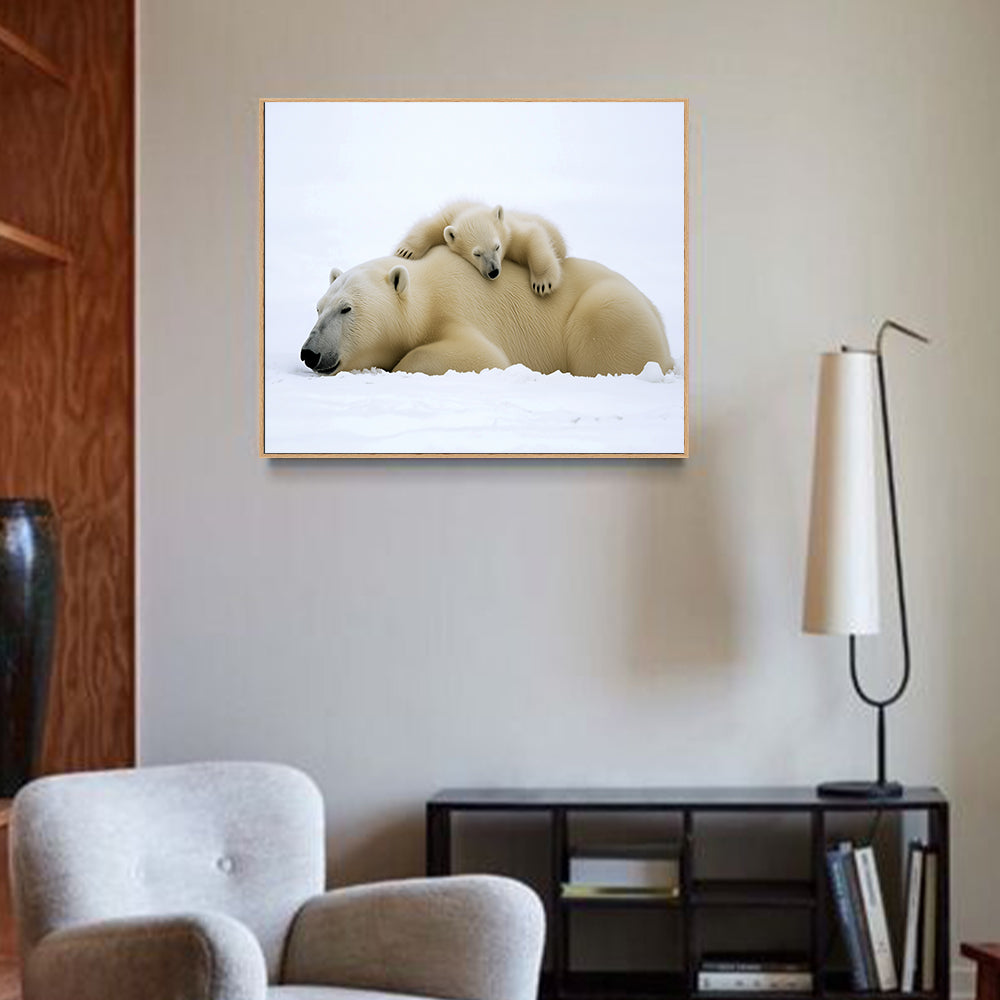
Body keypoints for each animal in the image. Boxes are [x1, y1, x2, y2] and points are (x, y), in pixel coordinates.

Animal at [300, 245, 674, 378]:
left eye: (346, 308)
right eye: (318, 308)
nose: (310, 352)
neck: (425, 294)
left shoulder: (457, 306)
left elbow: (482, 355)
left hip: (610, 311)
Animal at [394, 200, 567, 296]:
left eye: (497, 247)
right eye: (476, 254)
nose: (493, 271)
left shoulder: (509, 232)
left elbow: (532, 236)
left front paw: (542, 284)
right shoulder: (448, 217)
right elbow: (429, 225)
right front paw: (405, 251)